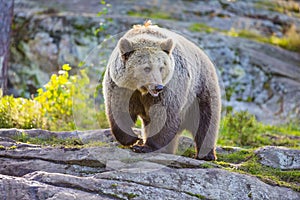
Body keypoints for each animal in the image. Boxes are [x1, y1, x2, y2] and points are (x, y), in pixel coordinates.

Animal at [102, 21, 221, 160]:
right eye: (146, 68)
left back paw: (207, 154)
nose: (158, 87)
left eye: (161, 67)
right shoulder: (121, 88)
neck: (141, 89)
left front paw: (144, 146)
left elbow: (164, 115)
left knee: (205, 120)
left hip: (200, 89)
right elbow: (119, 110)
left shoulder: (170, 88)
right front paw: (132, 138)